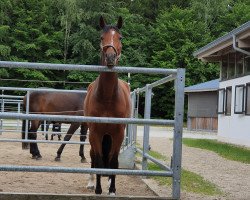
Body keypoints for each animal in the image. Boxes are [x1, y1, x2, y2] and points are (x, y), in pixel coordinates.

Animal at [84, 16, 131, 195]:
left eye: (120, 37)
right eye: (101, 37)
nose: (110, 57)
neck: (108, 98)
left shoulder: (118, 133)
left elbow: (113, 159)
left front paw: (112, 189)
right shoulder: (95, 132)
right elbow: (97, 159)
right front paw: (98, 189)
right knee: (92, 155)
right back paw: (91, 182)